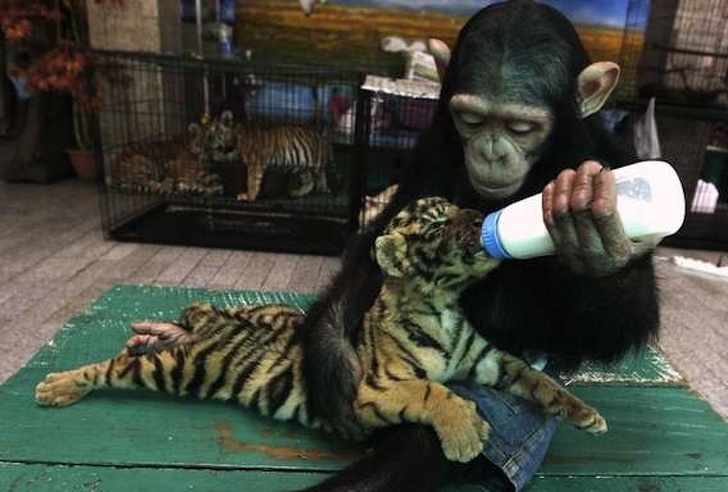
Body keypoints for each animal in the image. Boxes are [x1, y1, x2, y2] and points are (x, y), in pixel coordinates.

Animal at [35, 196, 606, 463]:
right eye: (438, 224)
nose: (483, 217)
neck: (444, 304)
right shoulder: (369, 391)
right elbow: (433, 390)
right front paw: (466, 432)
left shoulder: (489, 359)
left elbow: (538, 380)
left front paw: (587, 415)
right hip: (179, 370)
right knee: (116, 366)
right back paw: (57, 386)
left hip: (261, 318)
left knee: (187, 318)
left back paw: (159, 328)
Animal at [189, 110, 332, 201]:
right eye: (204, 137)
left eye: (212, 135)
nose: (207, 145)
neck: (234, 140)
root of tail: (321, 136)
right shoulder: (233, 153)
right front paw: (210, 156)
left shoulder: (255, 162)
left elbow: (252, 180)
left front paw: (249, 196)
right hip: (300, 167)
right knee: (310, 181)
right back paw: (296, 193)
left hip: (315, 162)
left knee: (321, 176)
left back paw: (323, 189)